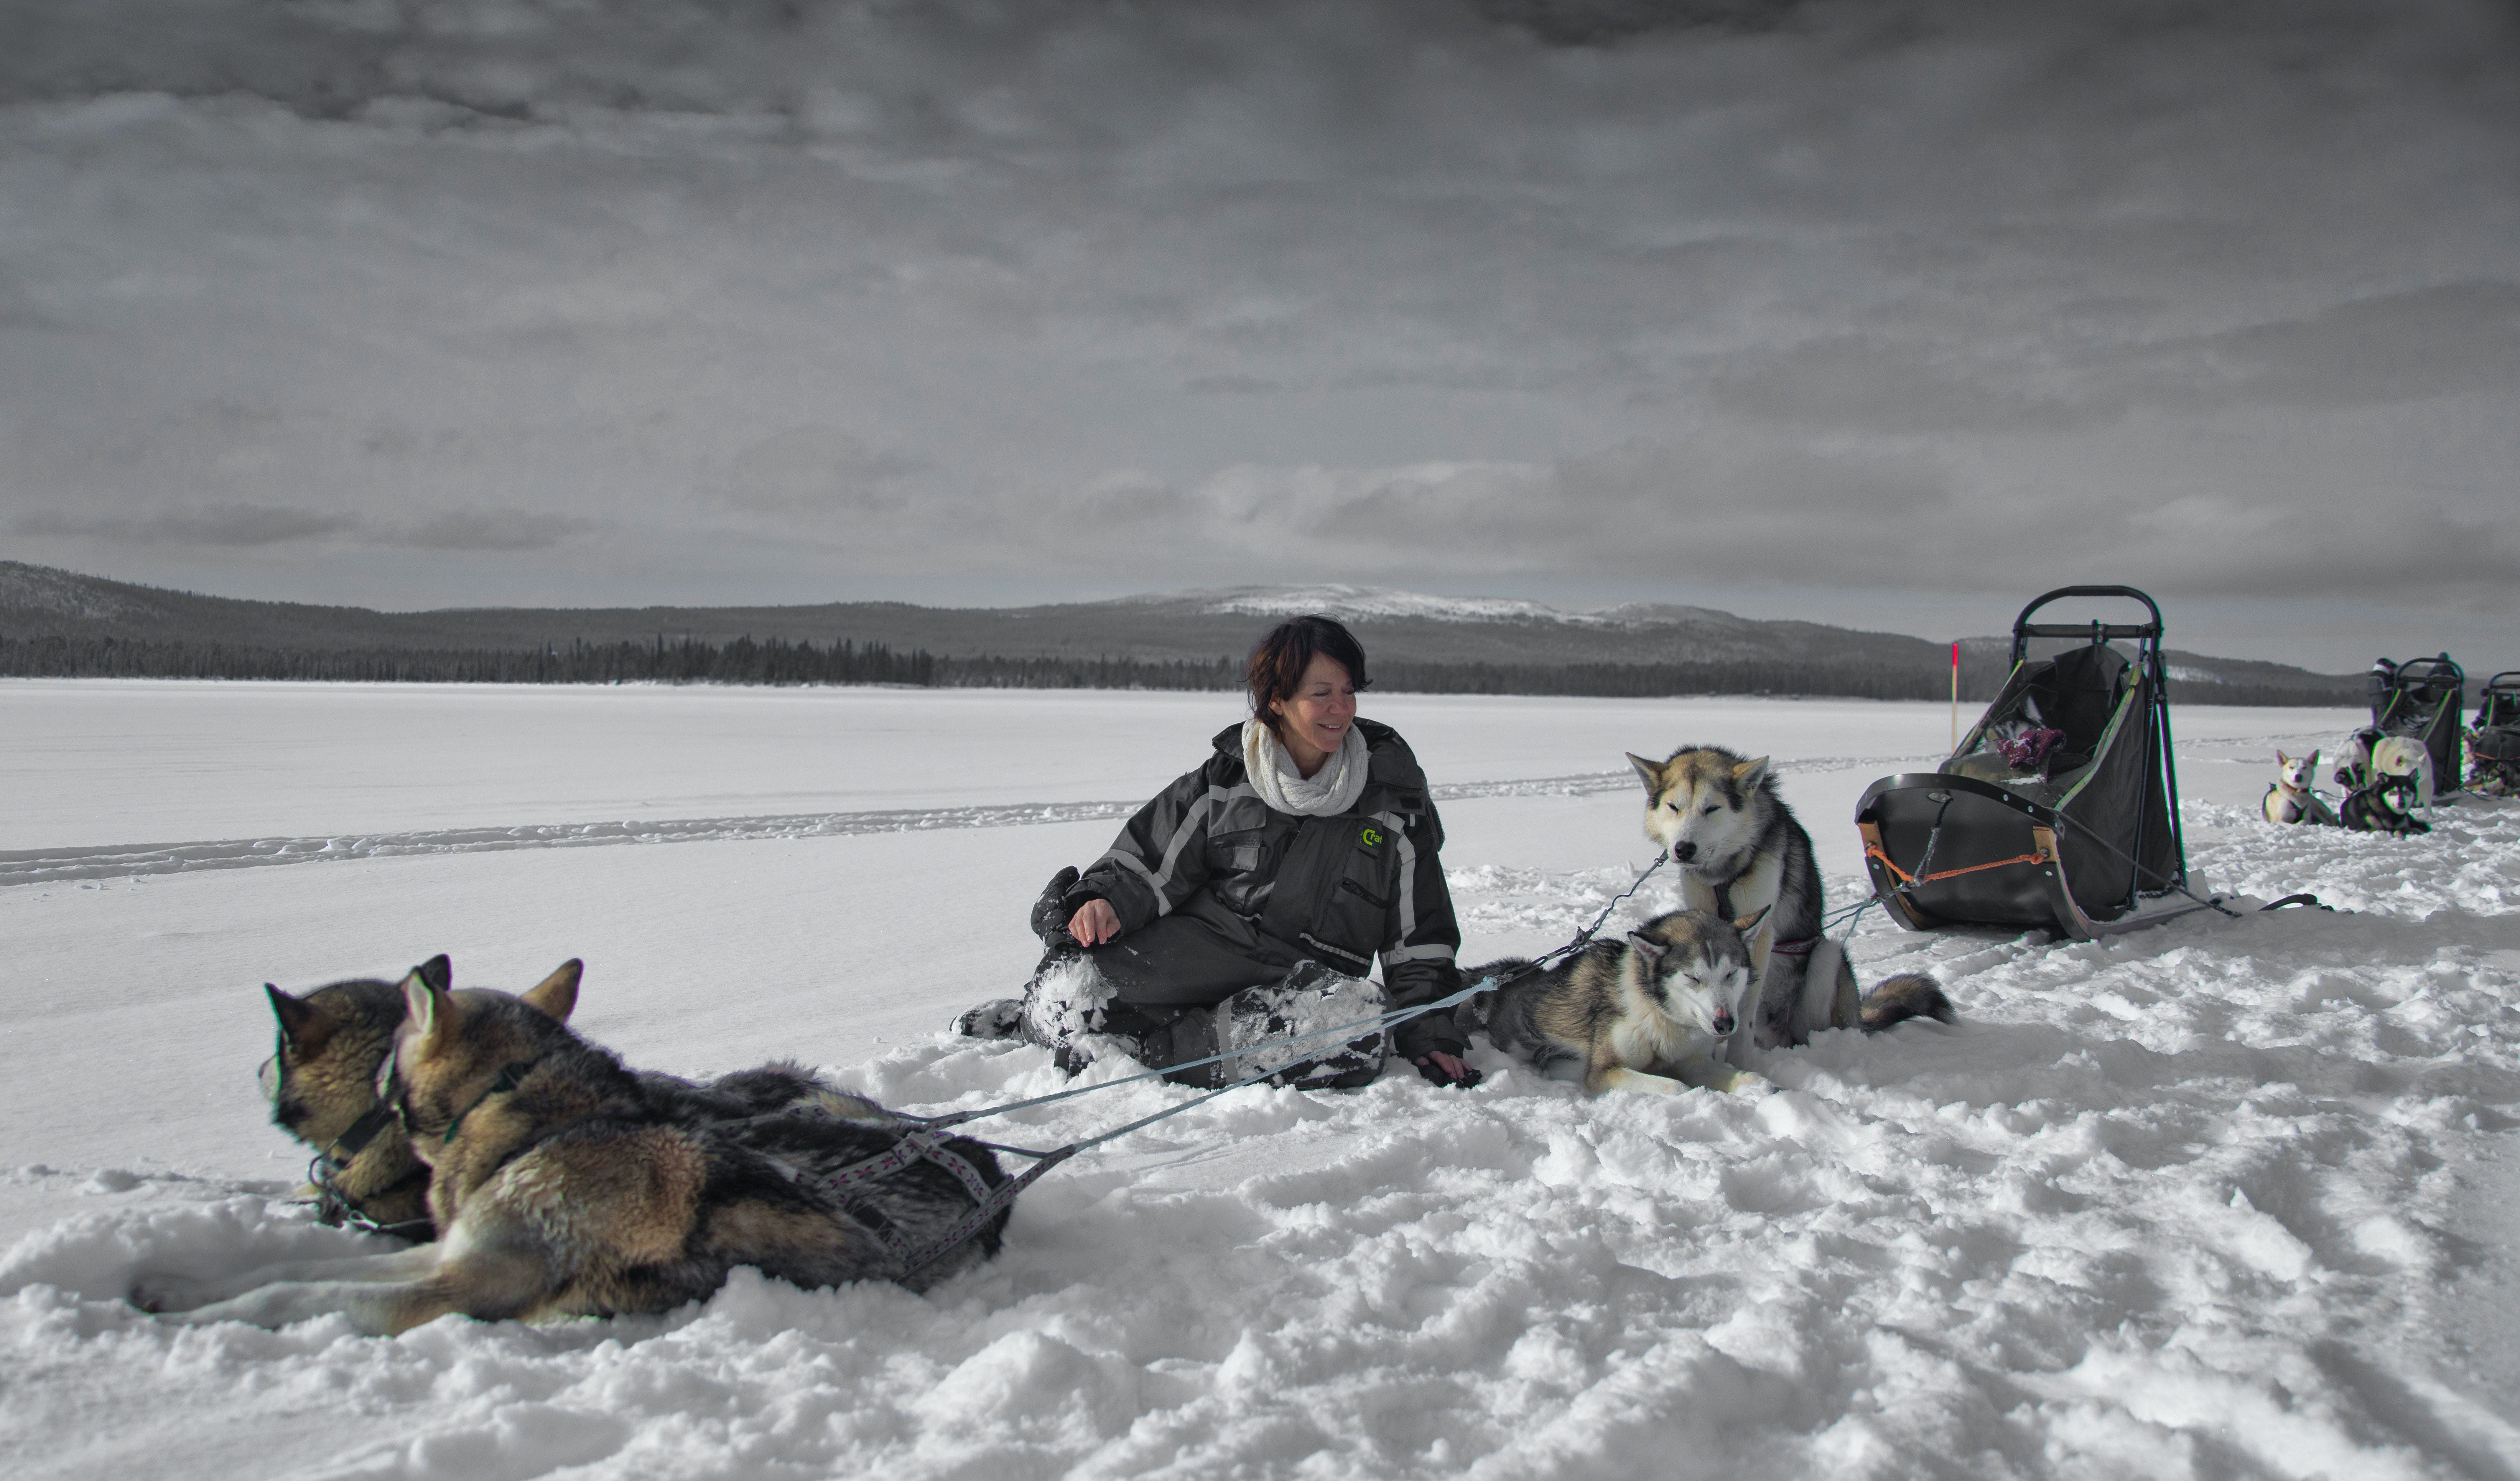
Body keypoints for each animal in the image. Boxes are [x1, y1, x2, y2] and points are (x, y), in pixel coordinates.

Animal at [143, 972, 1008, 1330]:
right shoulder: (445, 1251)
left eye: (276, 1048)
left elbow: (295, 1293)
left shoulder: (465, 1286)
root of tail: (985, 1160)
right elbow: (298, 1267)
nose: (254, 1072)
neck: (539, 1132)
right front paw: (174, 1284)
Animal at [1623, 745, 1955, 1048]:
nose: (1683, 849)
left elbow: (1744, 1006)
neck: (1723, 871)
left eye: (1712, 808)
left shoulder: (1761, 931)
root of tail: (1859, 1016)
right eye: (1673, 807)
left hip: (1826, 956)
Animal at [2268, 745, 2338, 826]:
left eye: (2304, 768)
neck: (2297, 792)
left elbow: (2304, 821)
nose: (2298, 776)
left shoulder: (2307, 818)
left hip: (2315, 809)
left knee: (2327, 821)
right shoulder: (2279, 821)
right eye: (2291, 767)